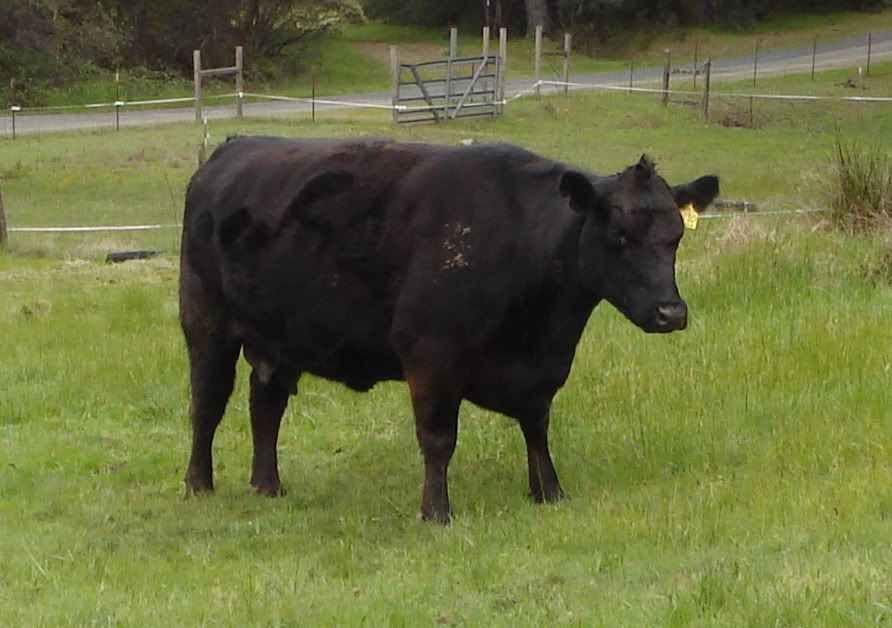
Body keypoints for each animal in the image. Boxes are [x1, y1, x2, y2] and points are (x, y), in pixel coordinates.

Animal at [179, 136, 718, 523]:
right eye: (619, 237)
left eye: (675, 236)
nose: (671, 312)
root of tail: (232, 147)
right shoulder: (432, 355)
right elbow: (438, 438)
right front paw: (436, 511)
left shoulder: (541, 366)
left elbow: (537, 425)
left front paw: (549, 490)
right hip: (206, 320)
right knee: (207, 404)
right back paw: (198, 484)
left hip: (279, 333)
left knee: (265, 402)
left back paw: (266, 484)